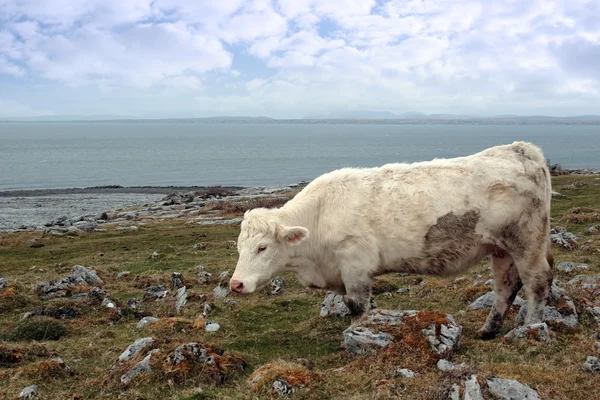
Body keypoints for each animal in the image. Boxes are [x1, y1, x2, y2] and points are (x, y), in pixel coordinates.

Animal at [230, 142, 552, 340]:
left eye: (262, 247)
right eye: (239, 248)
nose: (236, 284)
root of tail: (520, 150)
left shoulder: (355, 264)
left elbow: (356, 306)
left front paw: (354, 336)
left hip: (527, 241)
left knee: (537, 281)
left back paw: (530, 328)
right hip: (501, 247)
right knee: (506, 286)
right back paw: (488, 330)